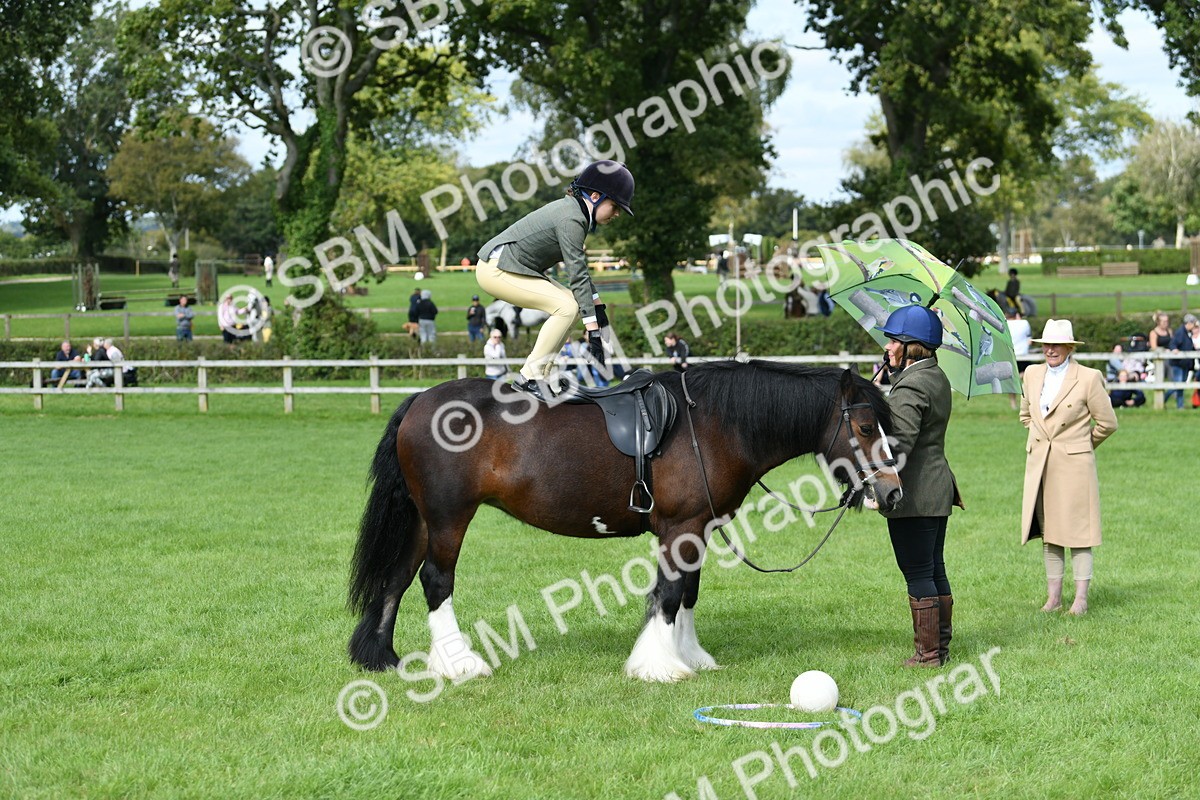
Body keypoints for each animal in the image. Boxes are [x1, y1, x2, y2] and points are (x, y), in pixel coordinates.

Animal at [348, 361, 903, 683]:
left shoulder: (696, 528)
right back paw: (460, 664)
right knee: (436, 581)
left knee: (397, 578)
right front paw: (658, 665)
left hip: (423, 520)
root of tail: (420, 401)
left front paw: (689, 656)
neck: (711, 424)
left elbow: (688, 593)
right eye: (864, 425)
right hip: (448, 519)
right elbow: (670, 594)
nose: (892, 492)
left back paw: (383, 657)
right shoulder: (681, 528)